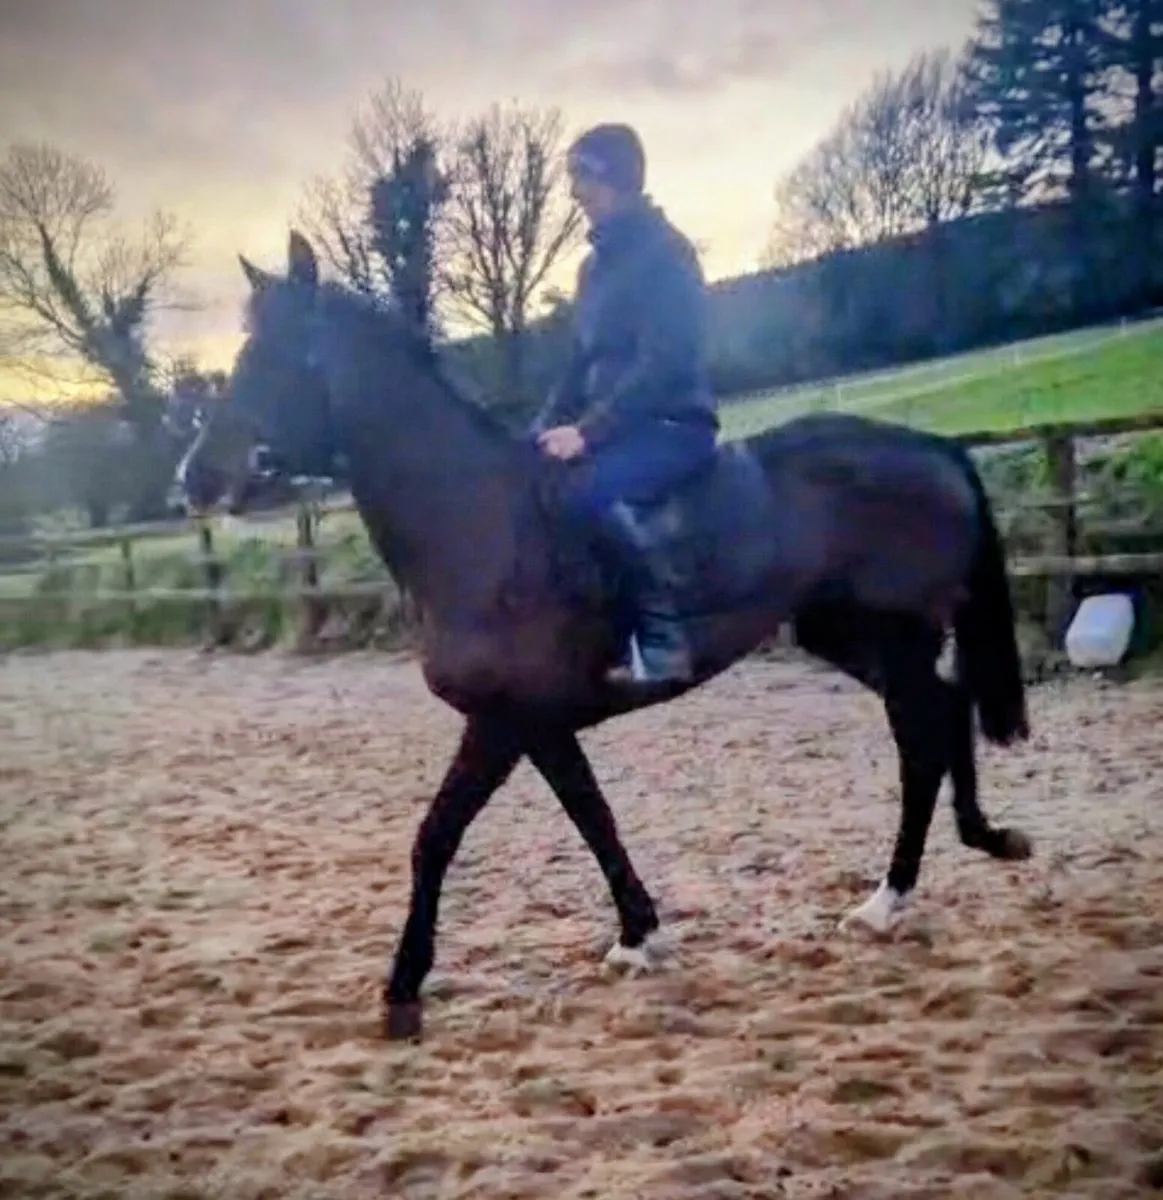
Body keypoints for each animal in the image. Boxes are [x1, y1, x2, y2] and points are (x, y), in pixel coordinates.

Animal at [178, 230, 1033, 1042]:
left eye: (275, 357)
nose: (193, 479)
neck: (478, 523)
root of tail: (927, 447)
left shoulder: (504, 722)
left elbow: (439, 836)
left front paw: (403, 991)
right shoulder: (538, 725)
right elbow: (589, 818)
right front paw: (637, 936)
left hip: (896, 634)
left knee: (921, 736)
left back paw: (892, 896)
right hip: (849, 634)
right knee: (940, 713)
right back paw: (959, 851)